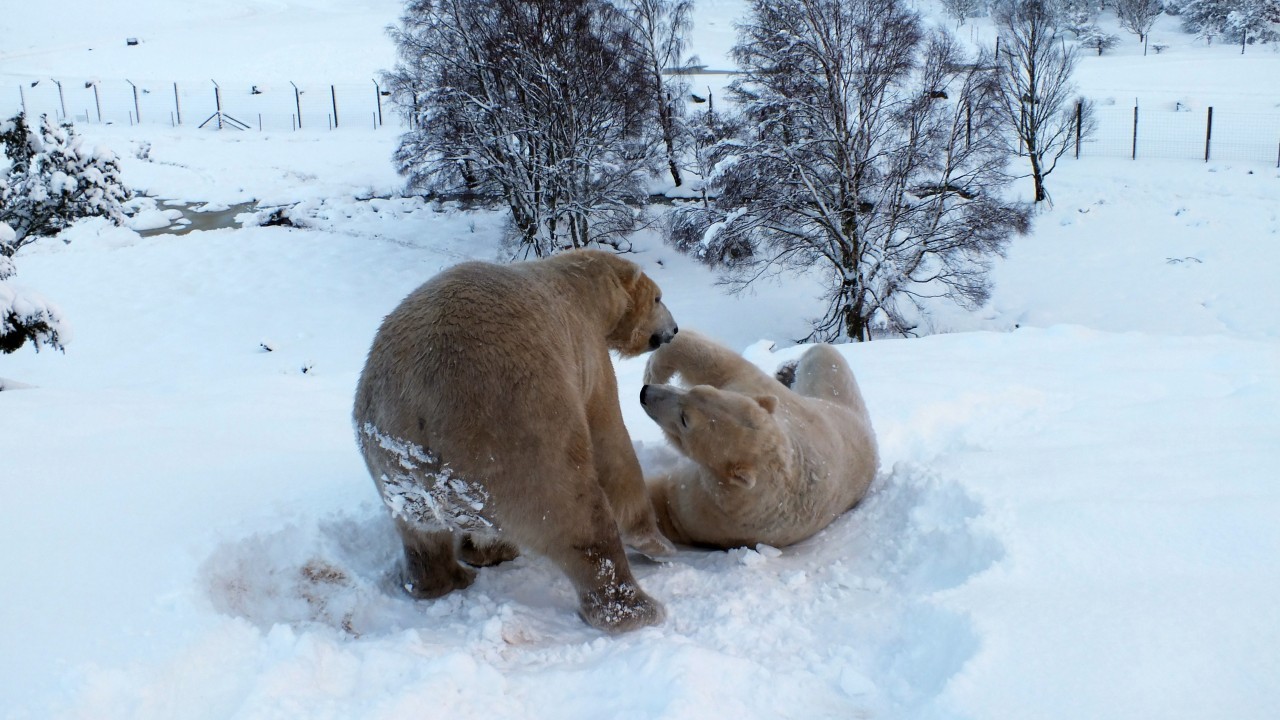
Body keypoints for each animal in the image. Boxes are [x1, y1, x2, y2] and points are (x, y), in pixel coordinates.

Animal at [355, 249, 680, 630]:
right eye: (658, 298)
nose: (674, 329)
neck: (583, 288)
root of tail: (416, 415)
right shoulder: (587, 355)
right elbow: (611, 444)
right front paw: (658, 544)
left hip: (391, 468)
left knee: (419, 533)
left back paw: (447, 577)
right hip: (515, 431)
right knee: (575, 509)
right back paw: (636, 609)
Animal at [640, 330, 880, 548]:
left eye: (684, 419)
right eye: (698, 391)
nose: (645, 393)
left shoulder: (714, 507)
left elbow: (664, 507)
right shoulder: (757, 396)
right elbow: (722, 368)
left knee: (821, 352)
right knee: (824, 352)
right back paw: (787, 370)